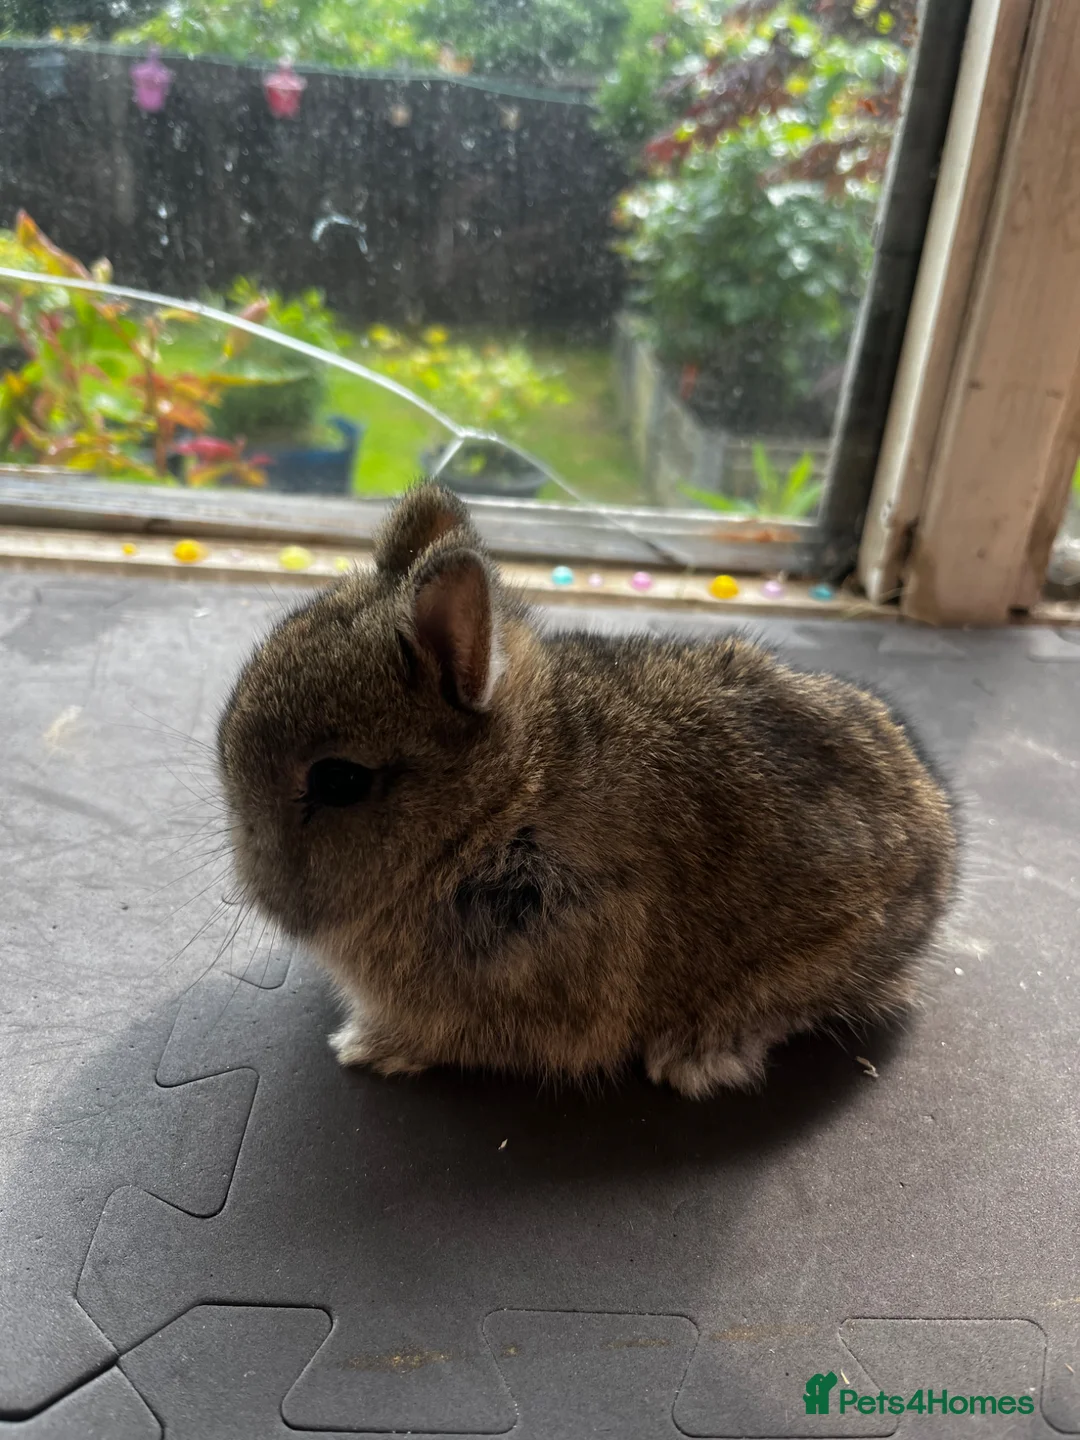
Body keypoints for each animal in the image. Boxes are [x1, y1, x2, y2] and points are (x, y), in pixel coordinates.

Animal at [217, 483, 958, 1097]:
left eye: (338, 780)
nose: (259, 891)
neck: (502, 800)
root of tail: (939, 854)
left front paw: (365, 1046)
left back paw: (698, 1055)